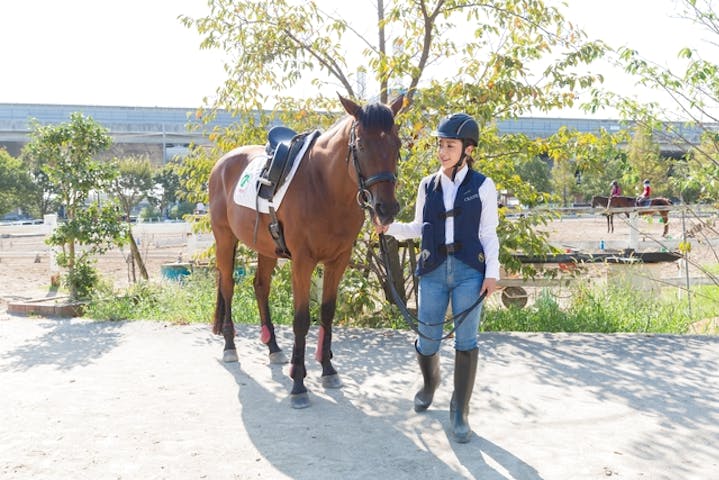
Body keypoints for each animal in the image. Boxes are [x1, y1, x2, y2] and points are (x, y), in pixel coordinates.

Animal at [207, 94, 404, 408]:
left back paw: (273, 347)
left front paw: (328, 369)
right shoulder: (302, 262)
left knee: (260, 287)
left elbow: (327, 313)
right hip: (224, 239)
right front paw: (299, 383)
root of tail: (222, 164)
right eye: (361, 145)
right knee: (227, 286)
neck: (324, 185)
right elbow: (301, 320)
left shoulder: (338, 261)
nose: (386, 209)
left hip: (267, 248)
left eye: (396, 144)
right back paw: (230, 346)